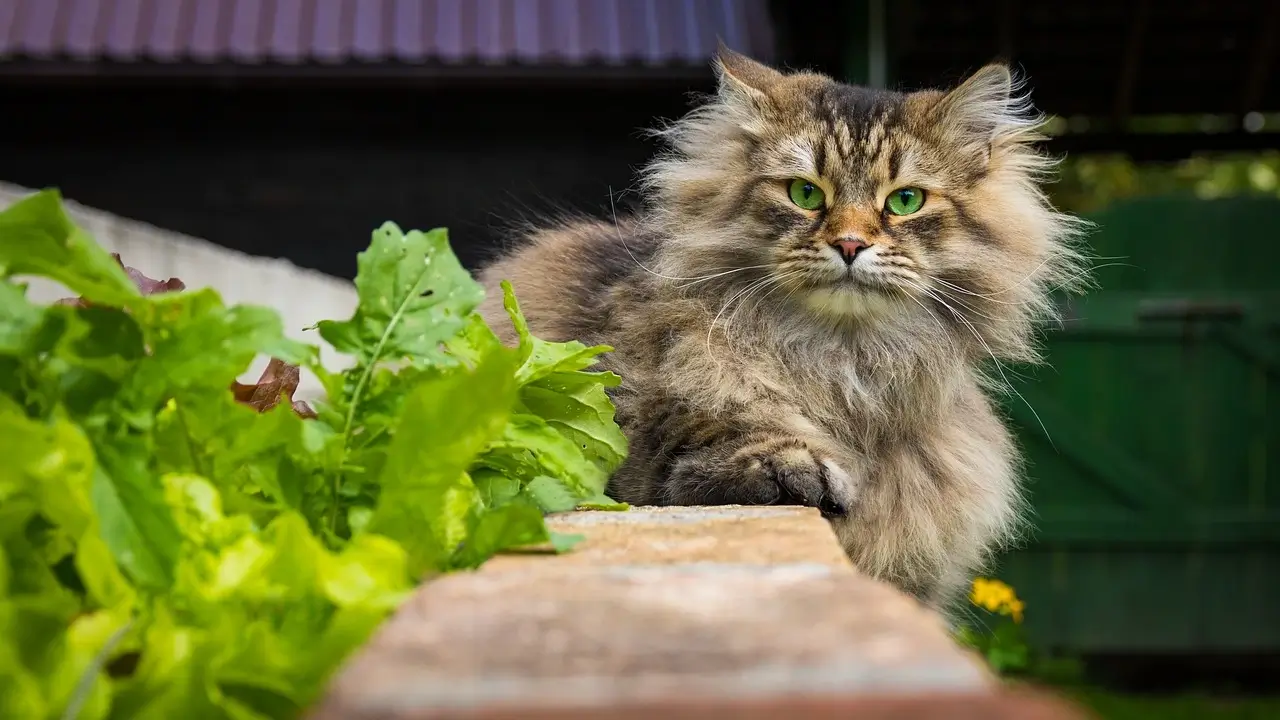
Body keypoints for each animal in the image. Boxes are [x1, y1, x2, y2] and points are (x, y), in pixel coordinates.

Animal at [476, 43, 1085, 604]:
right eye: (805, 193)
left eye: (905, 201)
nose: (850, 244)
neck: (840, 361)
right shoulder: (629, 439)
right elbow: (708, 441)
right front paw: (795, 468)